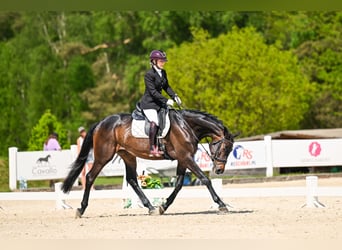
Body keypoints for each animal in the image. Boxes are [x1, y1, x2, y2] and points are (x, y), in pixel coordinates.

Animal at [62, 108, 235, 218]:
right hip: (103, 156)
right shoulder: (186, 157)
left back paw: (150, 207)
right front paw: (221, 204)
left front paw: (163, 206)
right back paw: (81, 209)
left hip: (128, 156)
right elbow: (205, 179)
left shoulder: (182, 159)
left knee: (132, 180)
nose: (220, 170)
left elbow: (179, 184)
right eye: (225, 147)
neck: (186, 126)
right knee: (90, 177)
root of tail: (101, 123)